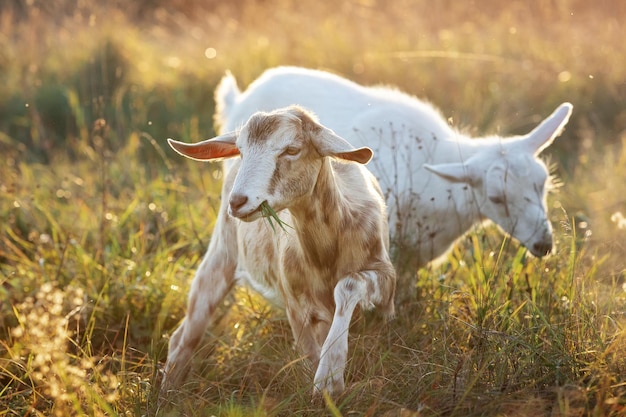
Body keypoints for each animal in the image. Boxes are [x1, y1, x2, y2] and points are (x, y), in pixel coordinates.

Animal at [161, 105, 394, 396]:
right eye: (241, 150)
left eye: (292, 149)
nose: (237, 202)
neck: (326, 255)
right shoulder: (295, 303)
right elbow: (309, 355)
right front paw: (326, 382)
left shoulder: (386, 278)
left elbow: (350, 286)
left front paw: (330, 375)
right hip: (220, 256)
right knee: (185, 336)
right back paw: (165, 394)